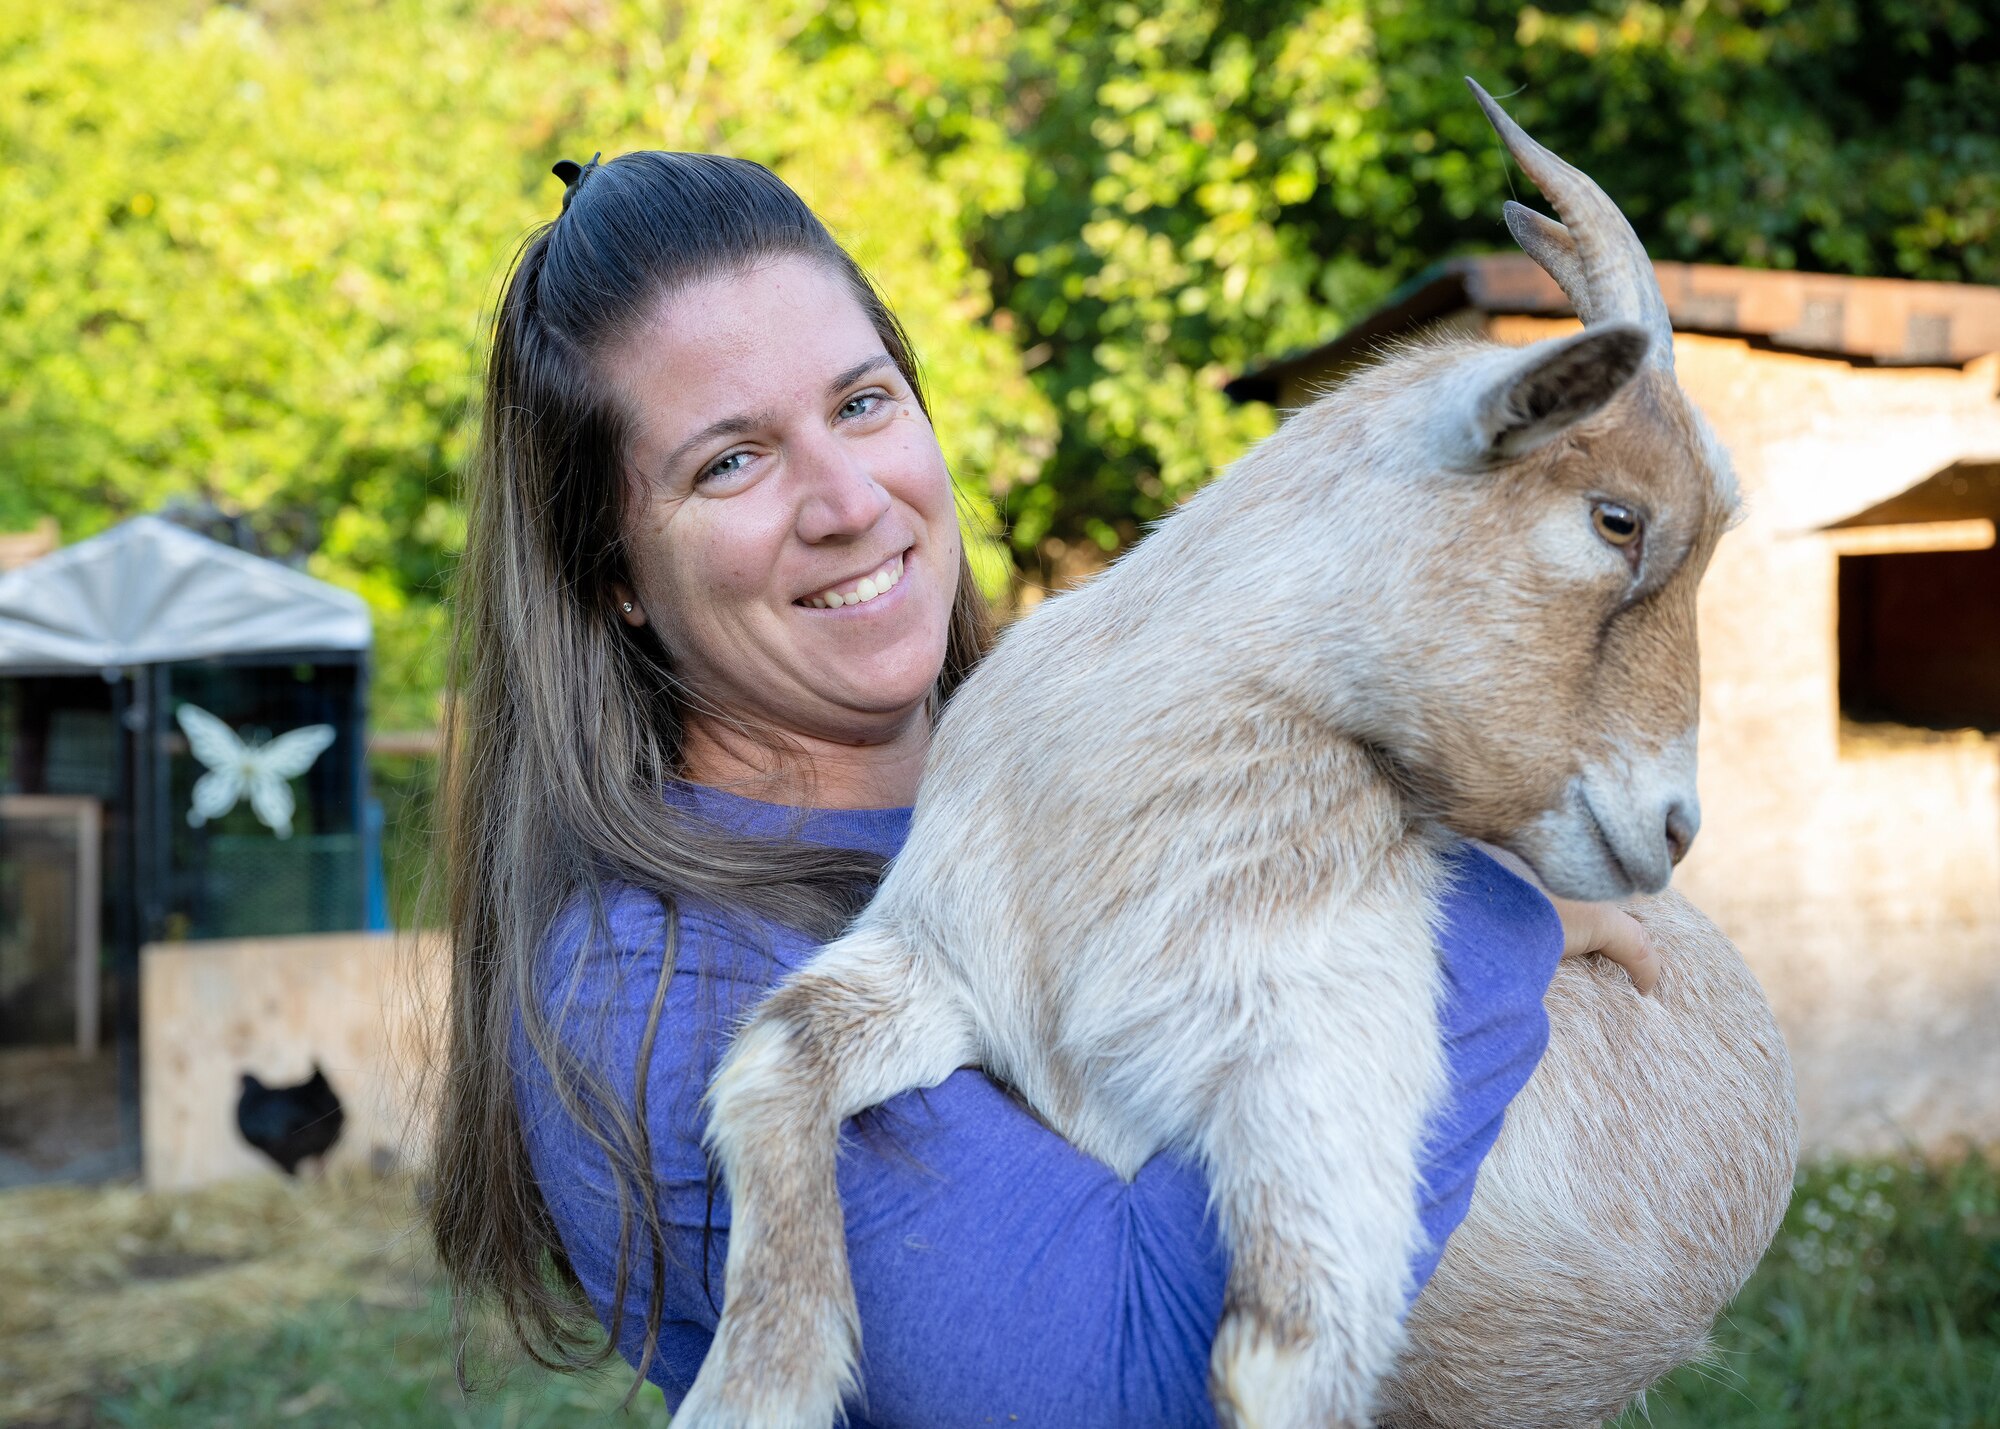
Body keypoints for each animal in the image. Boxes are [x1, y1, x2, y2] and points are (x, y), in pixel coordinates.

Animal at [676, 83, 1800, 1416]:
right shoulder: (956, 961)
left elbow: (1267, 1361)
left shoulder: (1324, 1070)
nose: (1673, 827)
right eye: (1616, 517)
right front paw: (759, 1385)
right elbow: (771, 1054)